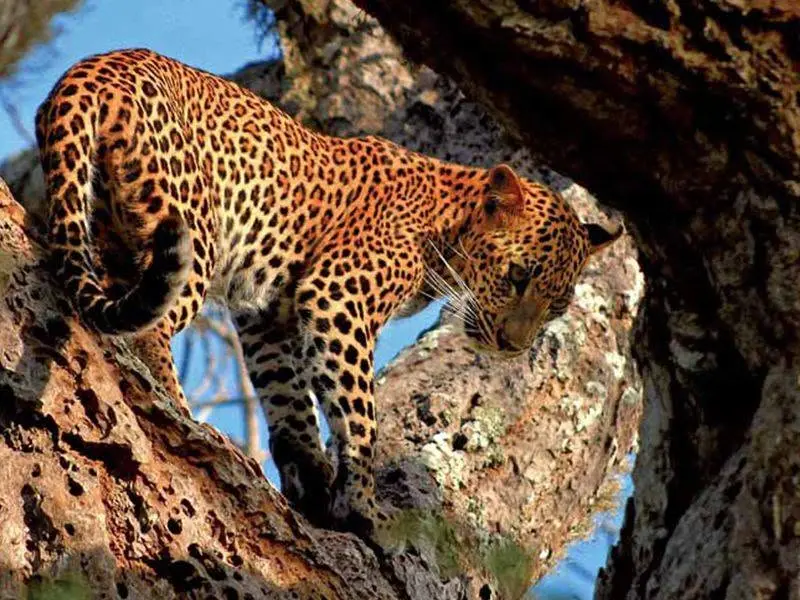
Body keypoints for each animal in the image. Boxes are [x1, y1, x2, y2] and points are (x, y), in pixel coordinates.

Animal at [35, 48, 622, 541]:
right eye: (518, 276)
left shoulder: (268, 311)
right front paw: (364, 505)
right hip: (189, 229)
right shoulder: (337, 294)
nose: (512, 345)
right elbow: (360, 416)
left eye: (556, 306)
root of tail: (89, 71)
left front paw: (313, 476)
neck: (446, 221)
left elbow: (289, 395)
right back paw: (182, 415)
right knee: (151, 326)